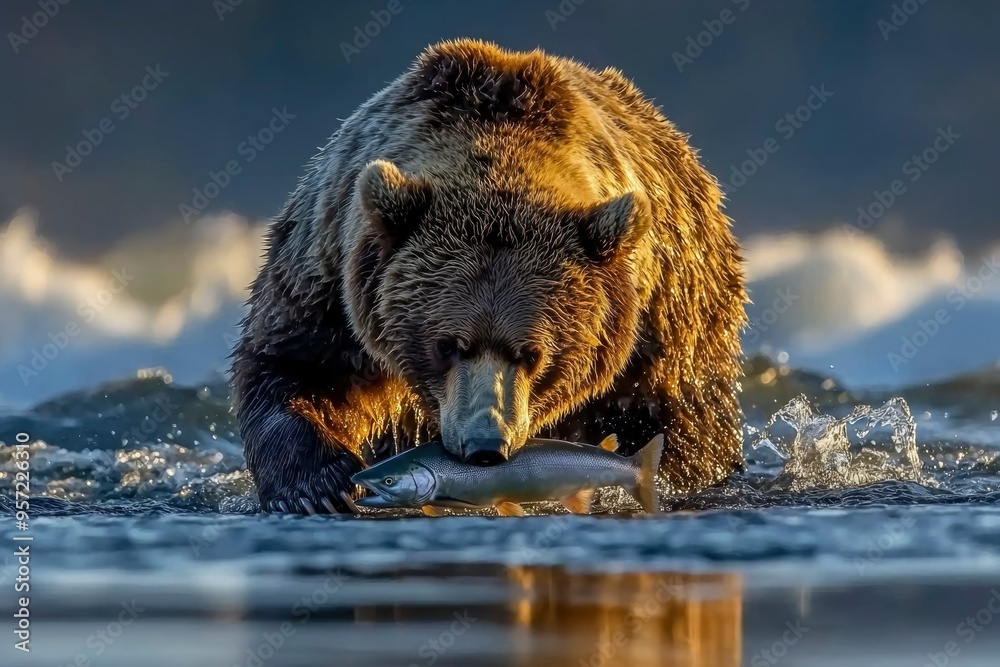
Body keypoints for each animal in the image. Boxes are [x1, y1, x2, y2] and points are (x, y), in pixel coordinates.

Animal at [231, 39, 747, 514]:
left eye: (533, 353)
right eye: (446, 345)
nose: (484, 447)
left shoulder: (648, 325)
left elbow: (667, 420)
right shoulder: (333, 271)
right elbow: (292, 364)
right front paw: (317, 487)